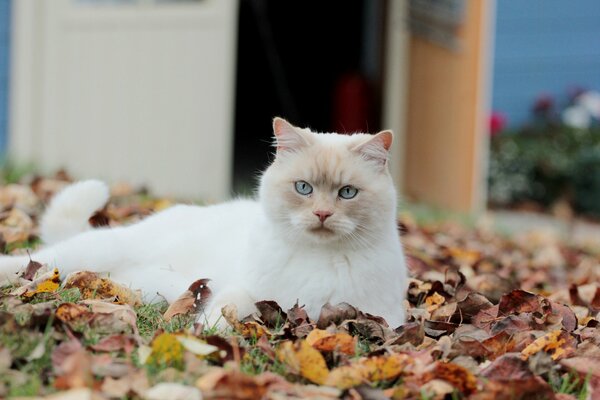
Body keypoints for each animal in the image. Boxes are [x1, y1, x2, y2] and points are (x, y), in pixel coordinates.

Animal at [0, 118, 408, 328]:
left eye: (347, 193)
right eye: (304, 188)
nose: (322, 214)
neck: (317, 259)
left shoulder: (383, 318)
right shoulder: (246, 291)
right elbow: (225, 313)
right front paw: (207, 337)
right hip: (92, 251)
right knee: (32, 260)